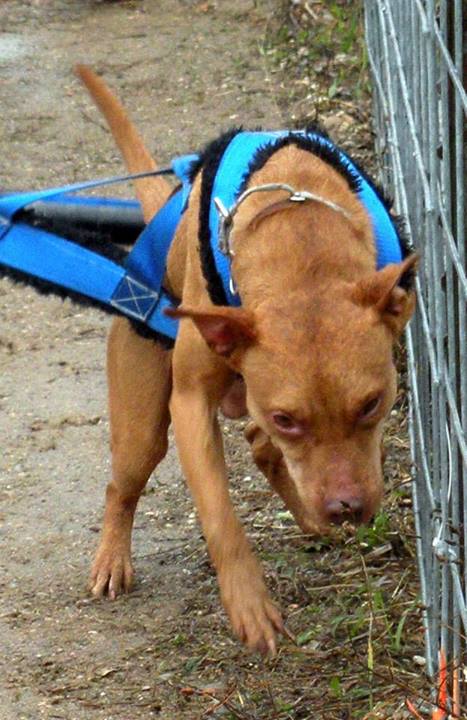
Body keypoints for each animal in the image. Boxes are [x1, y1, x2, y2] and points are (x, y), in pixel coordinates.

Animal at [76, 64, 416, 656]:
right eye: (288, 418)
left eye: (373, 403)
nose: (346, 507)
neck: (300, 241)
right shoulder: (191, 403)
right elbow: (219, 515)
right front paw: (248, 600)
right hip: (143, 426)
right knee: (123, 484)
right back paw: (113, 559)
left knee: (259, 448)